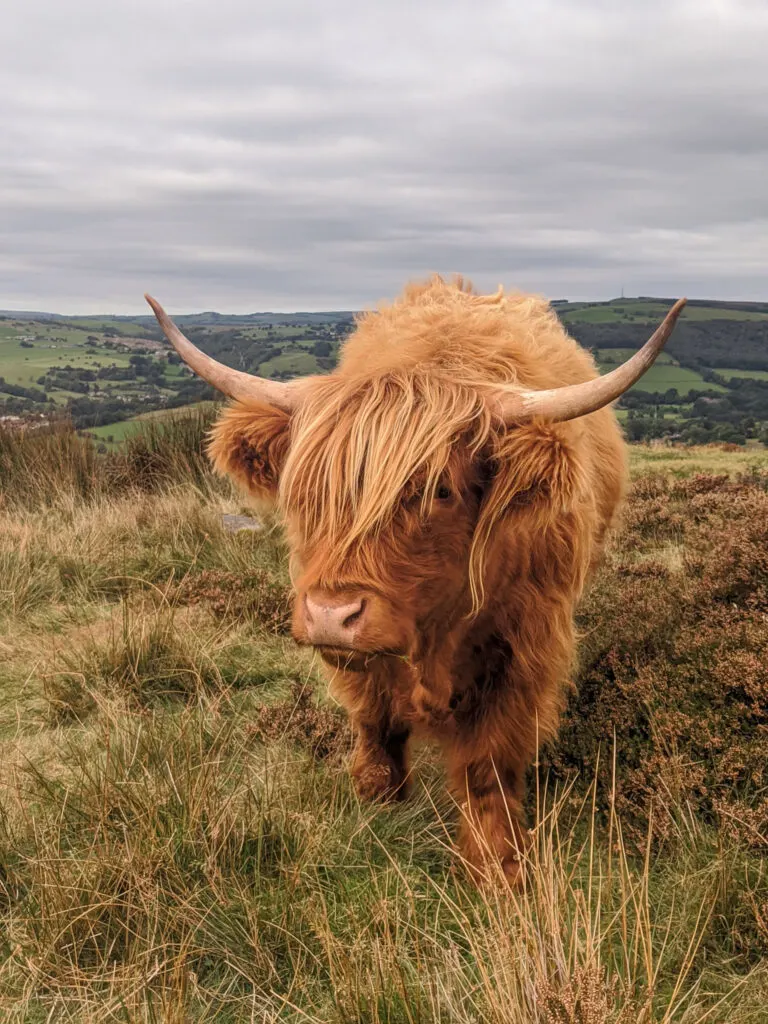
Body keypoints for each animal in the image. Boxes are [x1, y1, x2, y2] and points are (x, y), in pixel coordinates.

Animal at [144, 278, 684, 880]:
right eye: (305, 490)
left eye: (439, 491)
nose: (331, 616)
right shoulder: (359, 661)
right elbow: (374, 721)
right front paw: (376, 803)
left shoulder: (526, 646)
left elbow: (488, 765)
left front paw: (497, 865)